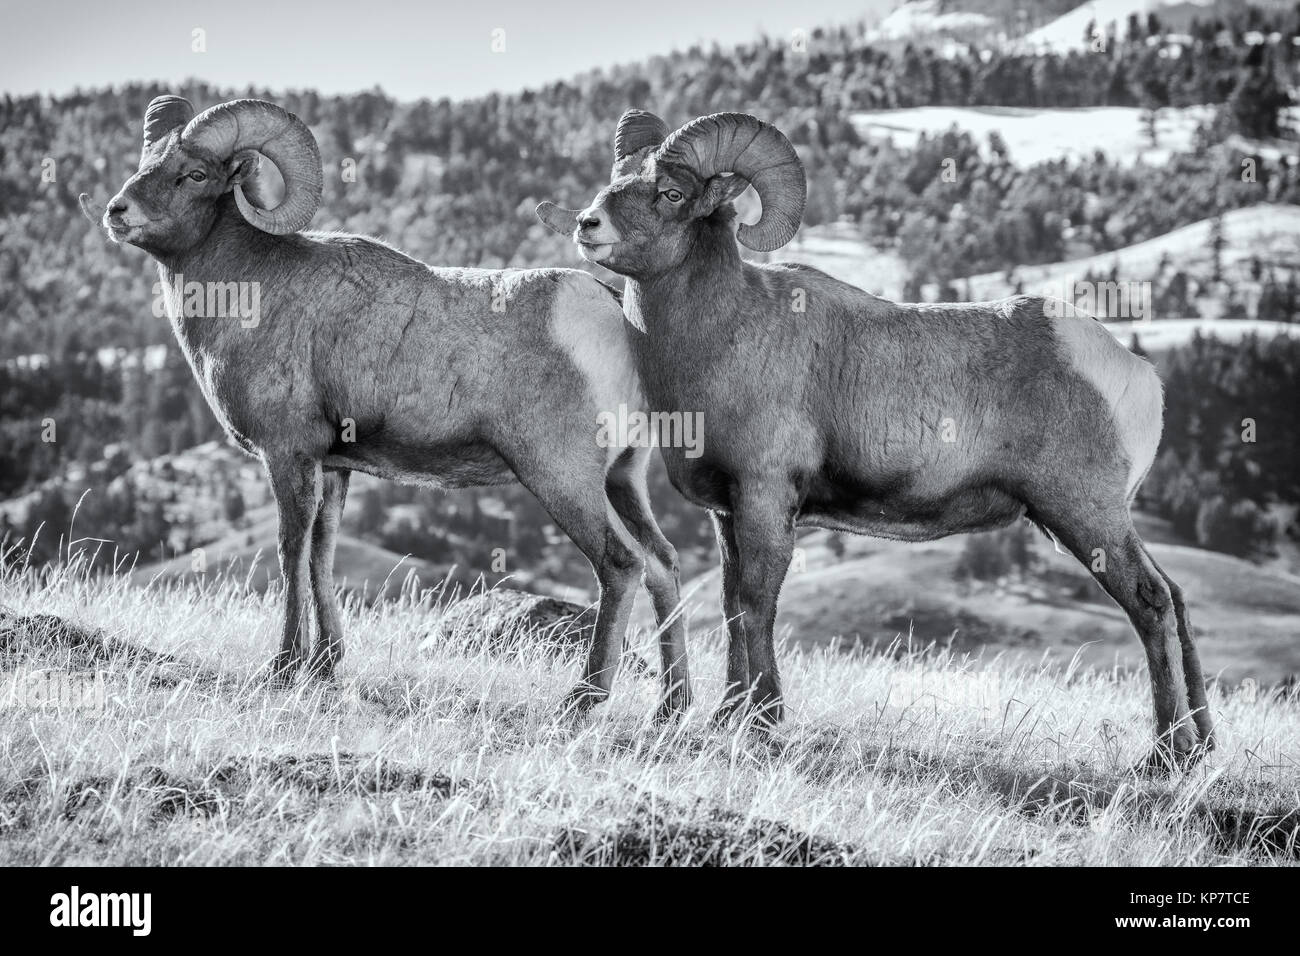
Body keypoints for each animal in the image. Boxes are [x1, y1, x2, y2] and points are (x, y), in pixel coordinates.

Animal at [79, 97, 691, 717]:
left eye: (195, 174)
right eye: (146, 162)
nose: (117, 212)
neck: (250, 291)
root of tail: (614, 313)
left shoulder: (288, 455)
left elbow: (290, 550)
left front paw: (283, 667)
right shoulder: (333, 466)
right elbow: (322, 551)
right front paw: (323, 665)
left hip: (561, 477)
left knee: (621, 565)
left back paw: (582, 700)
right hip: (623, 478)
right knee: (663, 563)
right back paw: (672, 707)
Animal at [535, 110, 1206, 770]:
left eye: (671, 193)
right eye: (617, 179)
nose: (588, 225)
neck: (721, 336)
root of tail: (1138, 375)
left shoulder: (767, 499)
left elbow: (757, 602)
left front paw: (763, 723)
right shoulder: (728, 513)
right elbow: (730, 604)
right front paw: (729, 716)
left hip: (1083, 514)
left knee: (1150, 600)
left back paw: (1163, 757)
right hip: (1102, 518)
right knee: (1174, 594)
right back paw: (1202, 746)